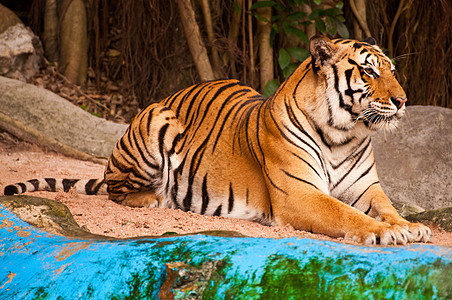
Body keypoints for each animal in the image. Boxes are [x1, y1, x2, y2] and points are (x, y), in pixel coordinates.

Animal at [5, 35, 432, 246]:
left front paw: (411, 226)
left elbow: (386, 208)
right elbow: (346, 214)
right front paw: (386, 232)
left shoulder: (367, 189)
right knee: (117, 189)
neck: (344, 132)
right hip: (153, 123)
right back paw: (156, 198)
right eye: (369, 71)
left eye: (392, 71)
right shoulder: (300, 194)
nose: (402, 100)